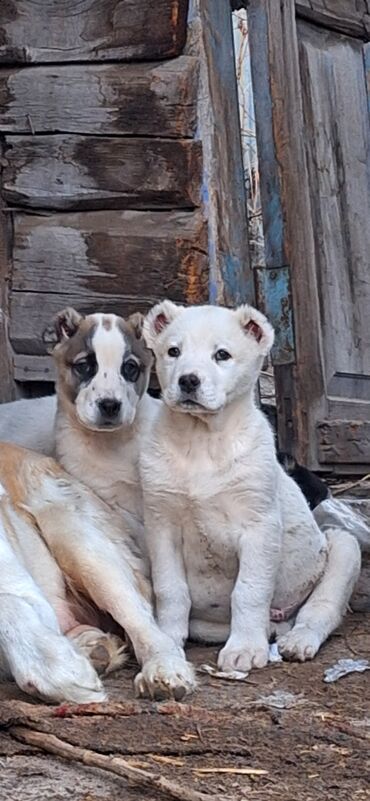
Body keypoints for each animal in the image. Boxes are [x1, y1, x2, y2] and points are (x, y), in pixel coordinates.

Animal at [142, 300, 362, 668]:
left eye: (222, 355)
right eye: (173, 351)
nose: (188, 381)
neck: (202, 441)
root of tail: (281, 621)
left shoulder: (259, 526)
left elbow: (249, 590)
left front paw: (244, 649)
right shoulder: (162, 526)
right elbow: (170, 590)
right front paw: (167, 641)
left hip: (343, 548)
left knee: (319, 610)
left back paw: (298, 640)